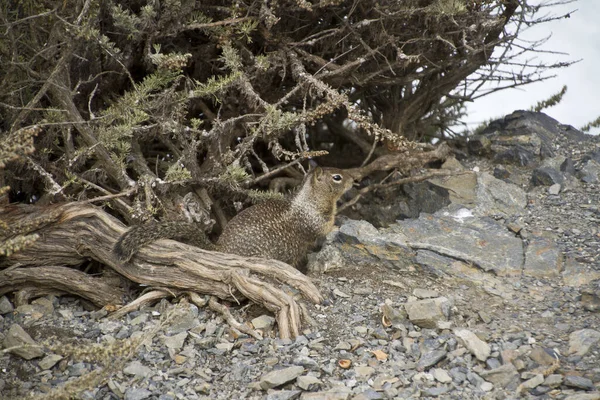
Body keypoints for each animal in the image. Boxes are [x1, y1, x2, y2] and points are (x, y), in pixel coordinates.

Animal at [113, 166, 352, 268]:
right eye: (337, 177)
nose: (354, 179)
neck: (311, 200)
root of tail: (221, 249)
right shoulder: (313, 221)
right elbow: (323, 228)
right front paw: (336, 226)